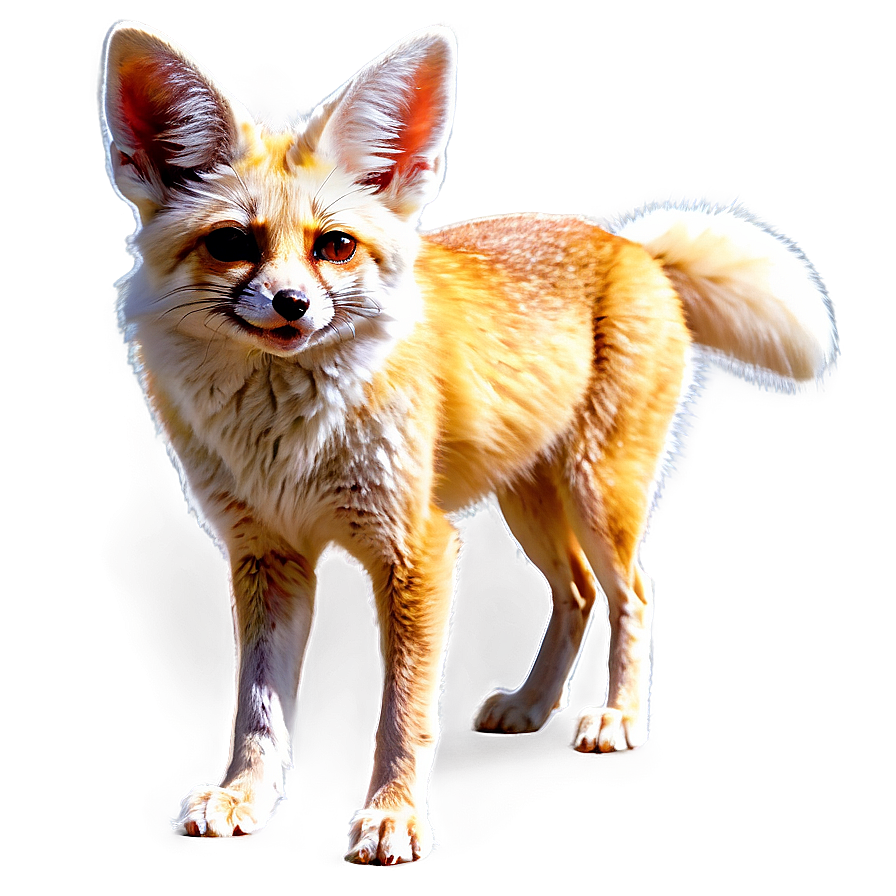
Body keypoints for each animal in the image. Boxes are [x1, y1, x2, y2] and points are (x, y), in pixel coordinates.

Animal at [101, 21, 836, 865]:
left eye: (335, 247)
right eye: (230, 243)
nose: (291, 303)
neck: (288, 440)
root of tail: (628, 244)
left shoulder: (418, 548)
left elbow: (405, 711)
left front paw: (394, 816)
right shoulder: (267, 556)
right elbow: (257, 709)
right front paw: (242, 798)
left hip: (598, 495)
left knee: (636, 595)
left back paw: (619, 718)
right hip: (528, 508)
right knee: (577, 593)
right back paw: (532, 706)